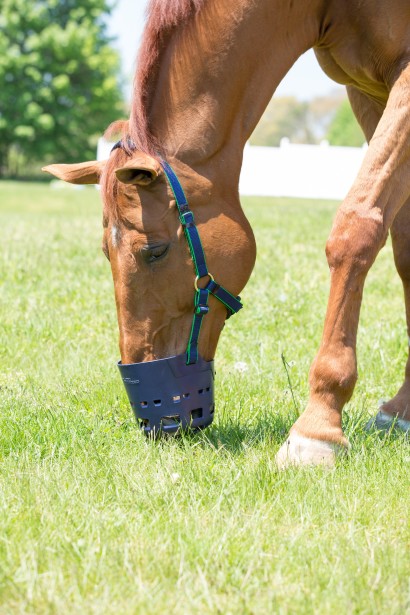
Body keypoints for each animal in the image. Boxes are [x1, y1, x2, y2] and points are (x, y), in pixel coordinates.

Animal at [44, 0, 410, 466]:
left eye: (155, 251)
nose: (154, 418)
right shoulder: (366, 92)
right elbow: (406, 251)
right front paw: (402, 409)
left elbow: (357, 226)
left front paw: (318, 427)